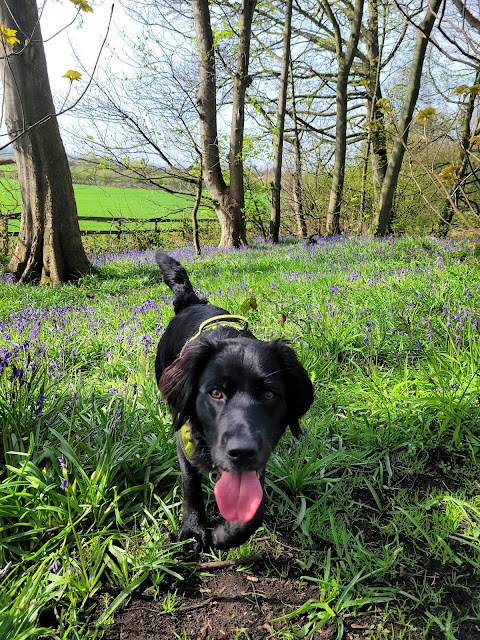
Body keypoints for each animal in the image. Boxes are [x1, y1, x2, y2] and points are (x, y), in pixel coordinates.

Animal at [155, 250, 316, 552]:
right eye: (216, 392)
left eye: (269, 394)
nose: (242, 451)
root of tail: (191, 303)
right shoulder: (185, 444)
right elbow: (190, 486)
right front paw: (193, 531)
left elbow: (254, 509)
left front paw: (224, 533)